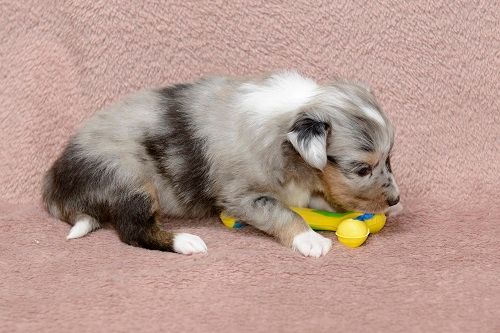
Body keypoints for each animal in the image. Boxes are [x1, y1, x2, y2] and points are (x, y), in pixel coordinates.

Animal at [43, 70, 402, 256]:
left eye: (389, 159)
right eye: (362, 169)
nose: (395, 199)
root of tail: (56, 189)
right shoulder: (243, 196)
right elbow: (283, 212)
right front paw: (310, 239)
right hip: (129, 178)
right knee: (133, 230)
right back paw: (185, 241)